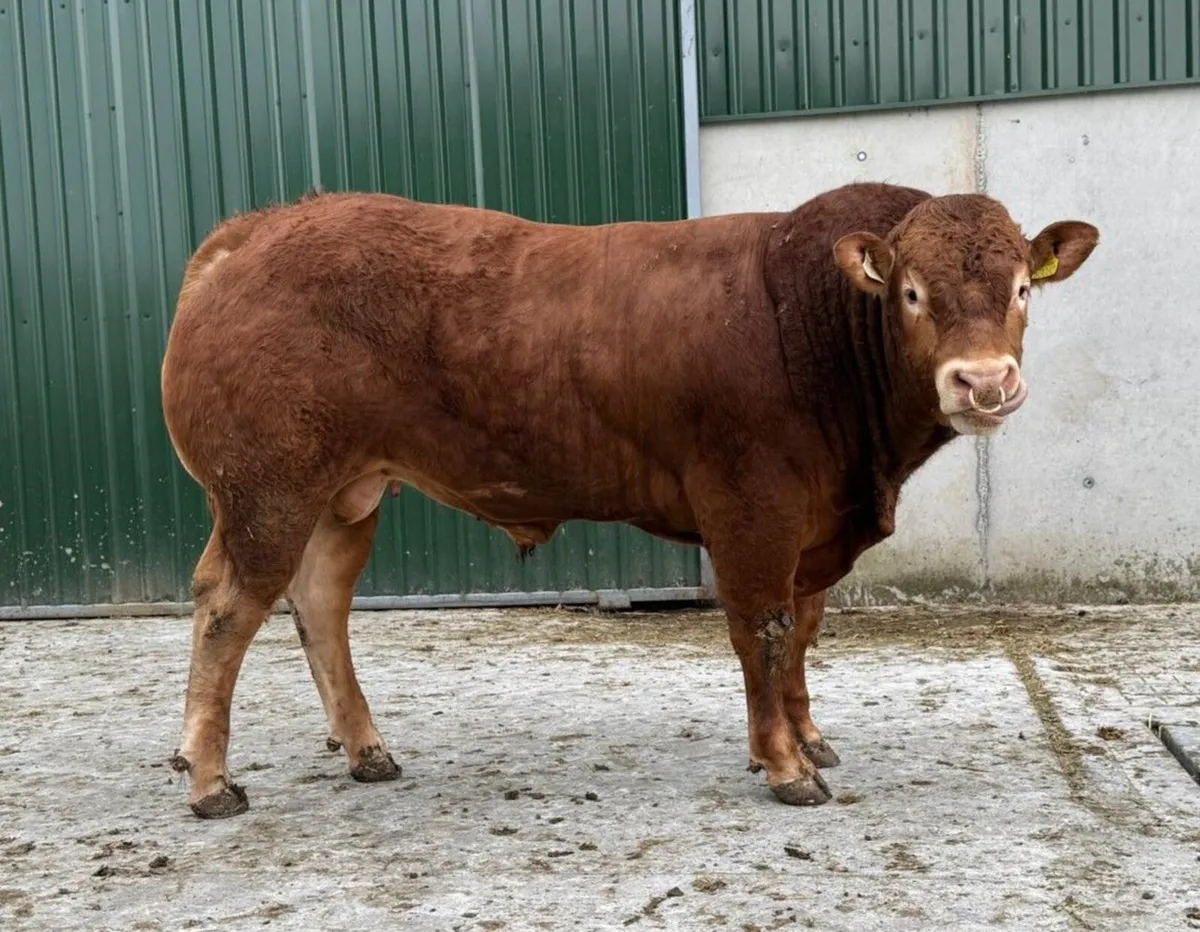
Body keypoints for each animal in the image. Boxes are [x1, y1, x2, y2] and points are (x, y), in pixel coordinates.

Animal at [160, 181, 1098, 818]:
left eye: (1022, 286)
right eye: (910, 292)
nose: (983, 382)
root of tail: (259, 228)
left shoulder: (815, 528)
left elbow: (802, 631)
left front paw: (809, 739)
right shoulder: (751, 506)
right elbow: (762, 630)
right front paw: (785, 765)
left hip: (341, 495)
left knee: (319, 603)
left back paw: (365, 751)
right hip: (267, 489)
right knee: (227, 609)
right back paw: (209, 780)